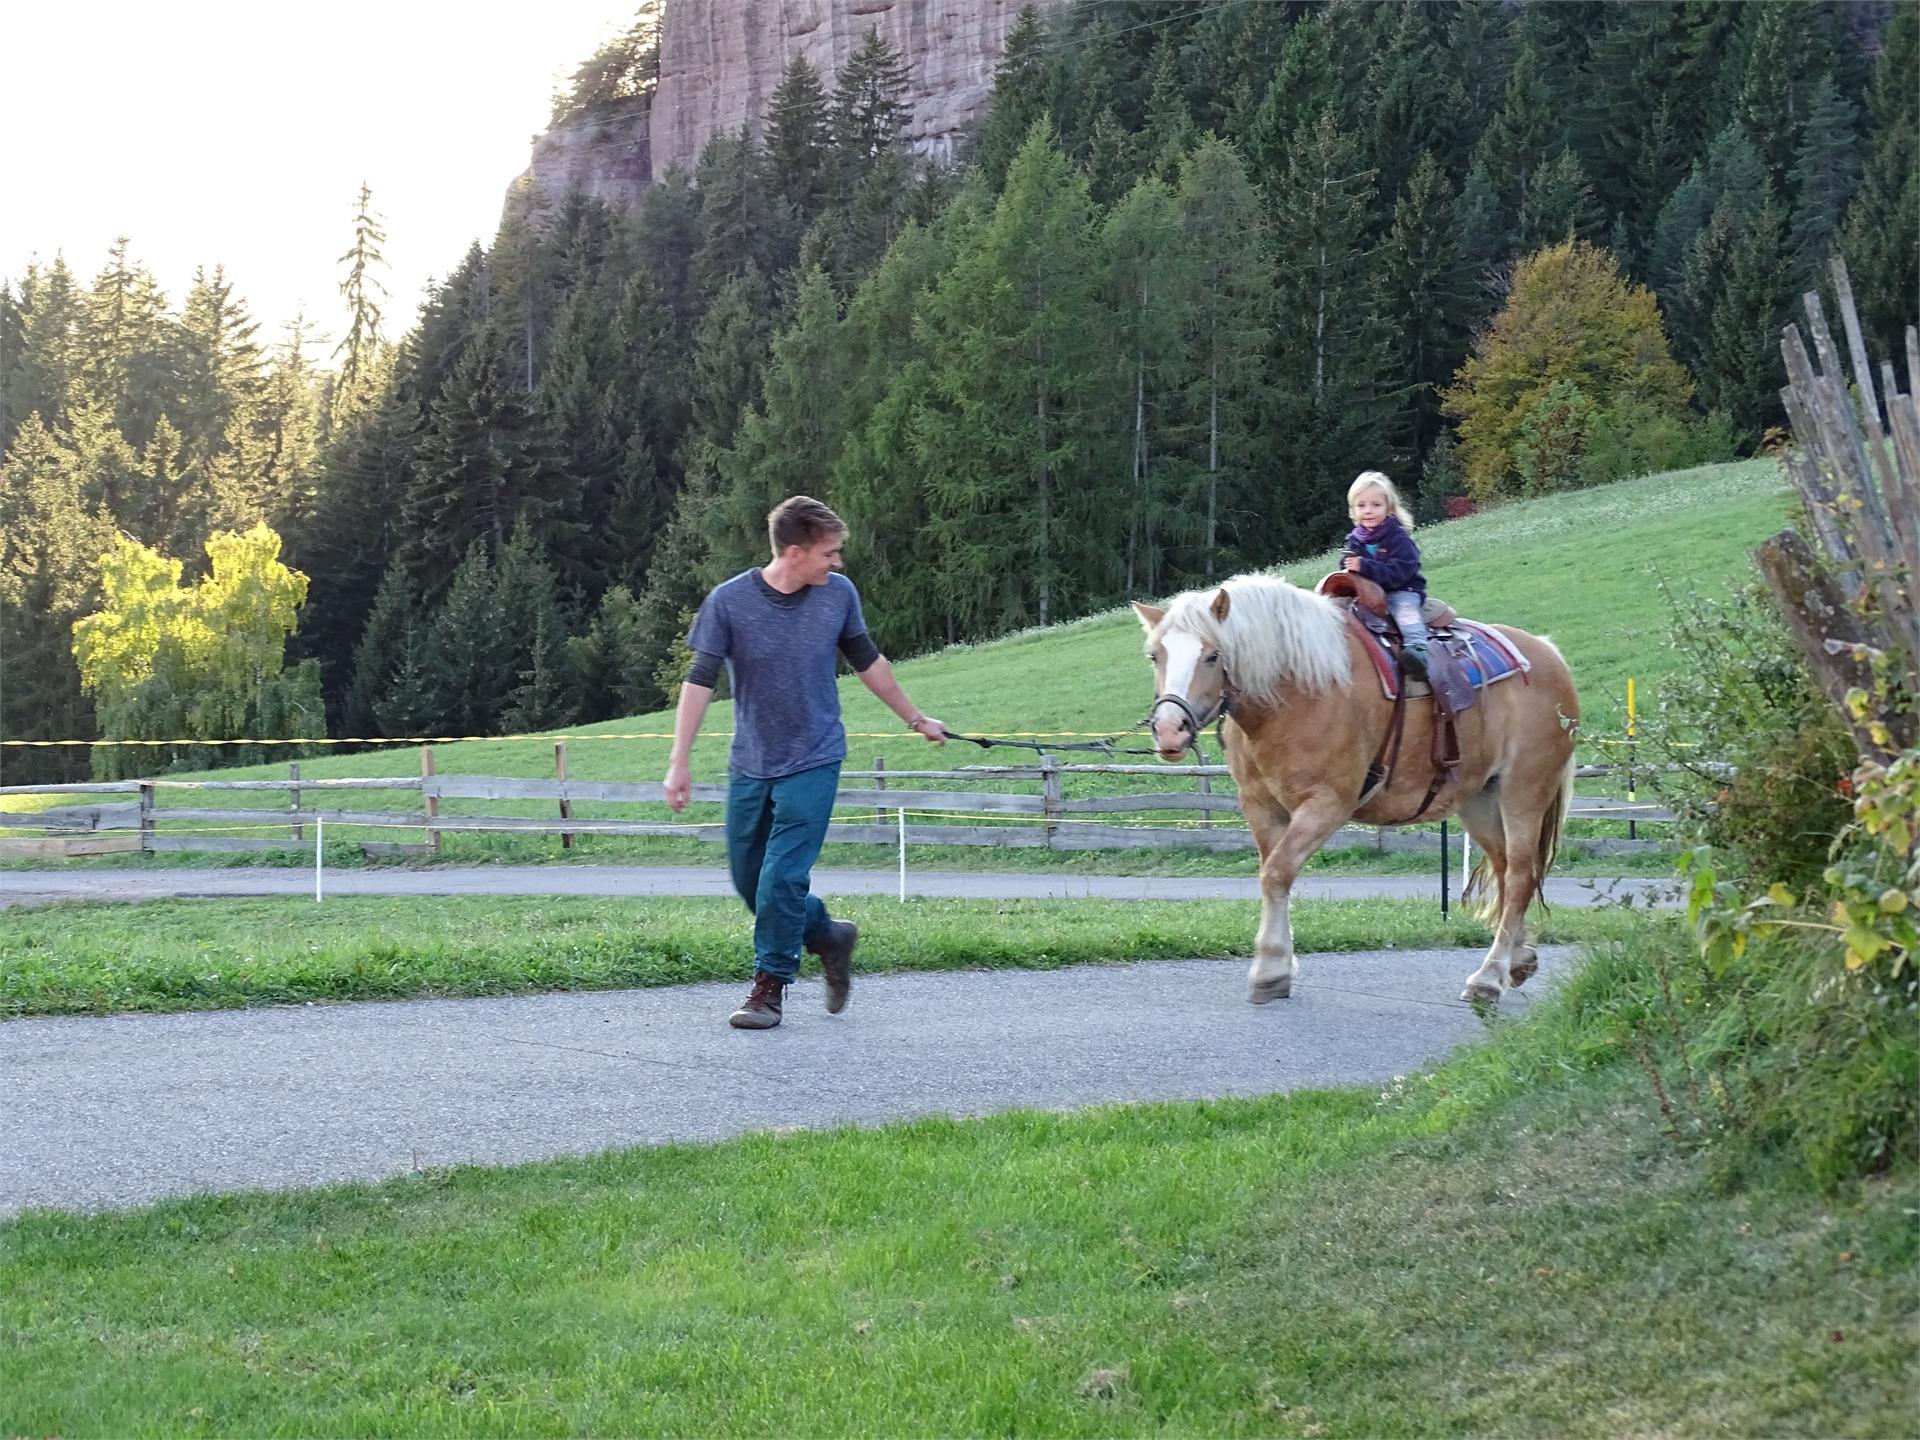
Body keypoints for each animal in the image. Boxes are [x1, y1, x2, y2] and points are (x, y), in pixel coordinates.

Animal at [1128, 572, 1582, 1006]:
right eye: (1156, 656)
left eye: (1212, 655)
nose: (1170, 730)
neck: (1295, 691)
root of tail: (1549, 654)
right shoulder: (1261, 805)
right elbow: (1273, 874)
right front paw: (1279, 967)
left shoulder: (1326, 804)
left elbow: (1277, 873)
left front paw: (1269, 970)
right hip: (1479, 800)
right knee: (1506, 871)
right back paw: (1517, 960)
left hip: (1523, 792)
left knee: (1521, 874)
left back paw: (1488, 978)